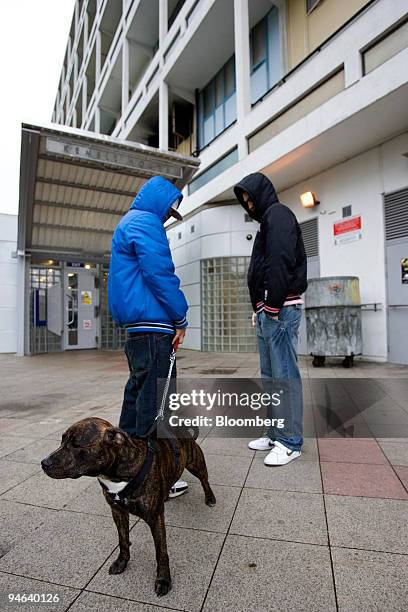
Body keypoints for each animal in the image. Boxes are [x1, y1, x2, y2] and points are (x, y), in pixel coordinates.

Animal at [40, 418, 217, 596]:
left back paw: (210, 498)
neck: (116, 475)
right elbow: (123, 540)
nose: (44, 463)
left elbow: (161, 551)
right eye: (62, 440)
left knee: (204, 479)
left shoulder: (155, 519)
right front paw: (121, 562)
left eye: (76, 444)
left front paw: (163, 580)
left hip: (196, 463)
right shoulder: (117, 512)